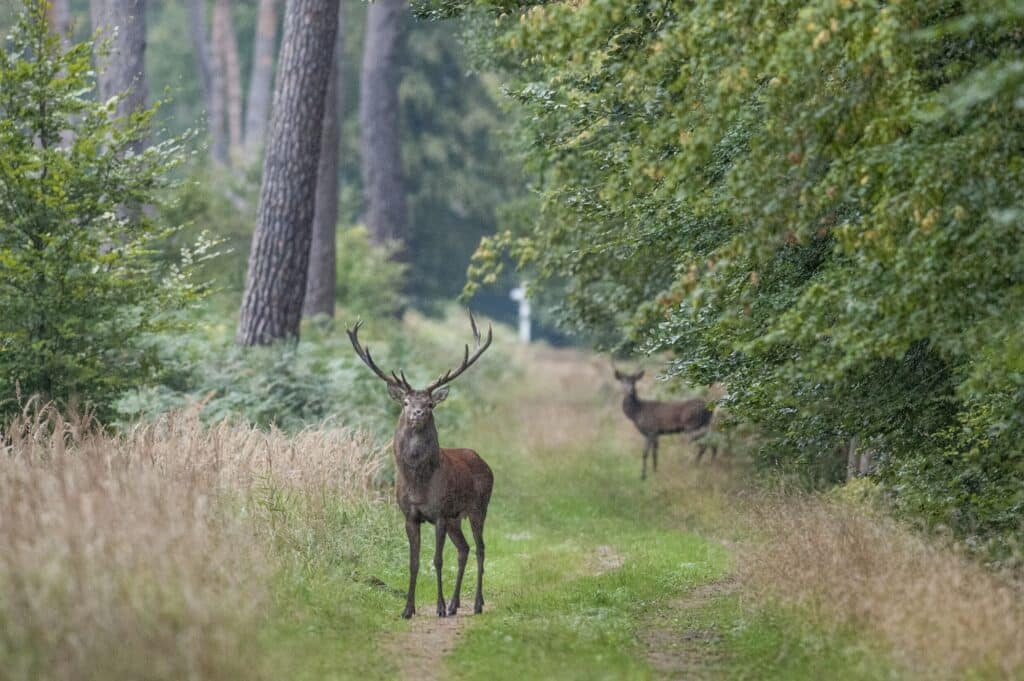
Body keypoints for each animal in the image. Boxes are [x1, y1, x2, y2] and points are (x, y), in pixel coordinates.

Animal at [347, 312, 494, 619]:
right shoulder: (410, 515)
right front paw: (408, 609)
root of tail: (484, 462)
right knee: (464, 549)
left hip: (478, 507)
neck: (418, 483)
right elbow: (413, 562)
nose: (416, 413)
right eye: (405, 401)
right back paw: (455, 604)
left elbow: (436, 560)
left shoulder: (438, 513)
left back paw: (476, 604)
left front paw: (437, 607)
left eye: (429, 403)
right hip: (455, 518)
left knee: (480, 549)